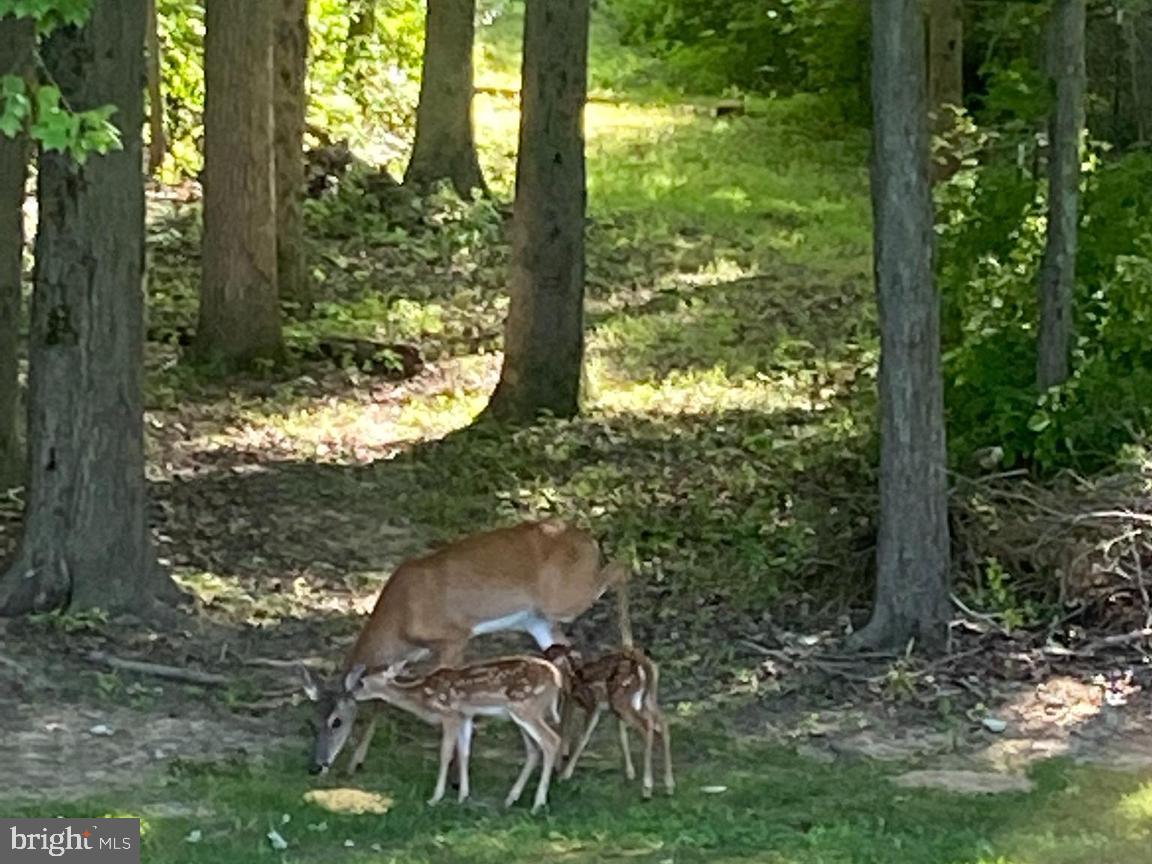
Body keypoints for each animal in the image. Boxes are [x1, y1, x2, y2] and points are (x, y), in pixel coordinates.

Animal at [302, 656, 564, 814]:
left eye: (362, 682)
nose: (350, 693)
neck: (422, 696)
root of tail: (558, 679)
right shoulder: (465, 716)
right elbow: (464, 752)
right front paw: (463, 797)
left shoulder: (450, 714)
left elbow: (446, 754)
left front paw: (435, 798)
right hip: (519, 714)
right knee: (534, 749)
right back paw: (511, 799)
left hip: (526, 708)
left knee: (552, 741)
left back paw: (538, 803)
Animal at [303, 519, 629, 776]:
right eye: (312, 721)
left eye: (336, 722)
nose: (318, 765)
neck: (401, 617)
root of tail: (590, 541)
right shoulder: (405, 658)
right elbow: (382, 702)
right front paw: (355, 762)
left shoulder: (454, 637)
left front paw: (455, 775)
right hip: (539, 621)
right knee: (570, 660)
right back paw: (564, 759)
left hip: (565, 599)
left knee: (620, 571)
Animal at [542, 563, 674, 799]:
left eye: (549, 653)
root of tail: (644, 665)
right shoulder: (591, 704)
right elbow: (617, 733)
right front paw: (629, 771)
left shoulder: (592, 703)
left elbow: (581, 737)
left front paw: (564, 774)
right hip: (644, 699)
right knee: (663, 723)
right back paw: (668, 784)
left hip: (623, 700)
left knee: (649, 728)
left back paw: (648, 787)